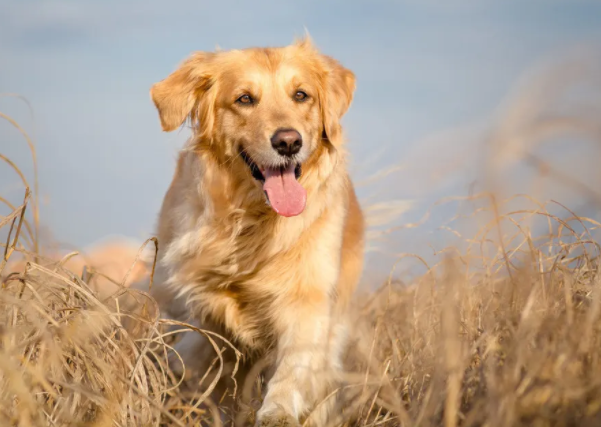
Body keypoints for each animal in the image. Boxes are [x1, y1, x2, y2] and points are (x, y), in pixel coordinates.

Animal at [145, 38, 364, 426]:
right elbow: (198, 352)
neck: (253, 219)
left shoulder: (309, 297)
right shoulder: (191, 298)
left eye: (301, 95)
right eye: (245, 98)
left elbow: (295, 364)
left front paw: (278, 410)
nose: (288, 142)